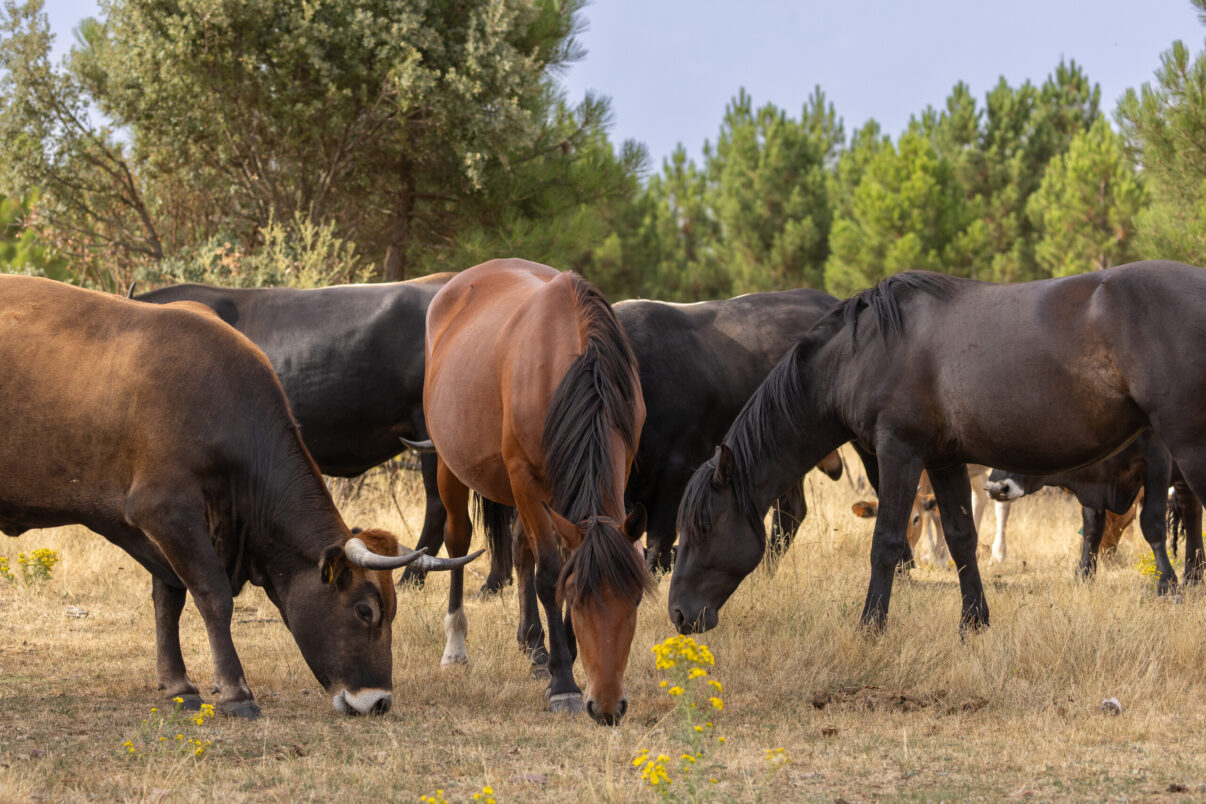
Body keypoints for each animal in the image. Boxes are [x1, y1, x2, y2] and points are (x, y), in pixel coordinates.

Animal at [0, 276, 479, 717]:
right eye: (364, 611)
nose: (379, 701)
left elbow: (168, 599)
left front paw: (178, 685)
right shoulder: (167, 512)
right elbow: (211, 595)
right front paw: (235, 691)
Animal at [420, 258, 650, 725]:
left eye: (635, 599)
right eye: (577, 600)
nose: (607, 707)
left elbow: (556, 558)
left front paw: (561, 654)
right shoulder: (523, 477)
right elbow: (549, 572)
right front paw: (563, 683)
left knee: (521, 546)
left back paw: (534, 645)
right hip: (451, 466)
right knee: (459, 542)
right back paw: (456, 647)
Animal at [670, 262, 1204, 635]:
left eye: (703, 528)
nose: (678, 614)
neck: (862, 352)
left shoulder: (899, 453)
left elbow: (886, 542)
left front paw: (870, 627)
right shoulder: (946, 461)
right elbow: (962, 537)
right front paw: (974, 623)